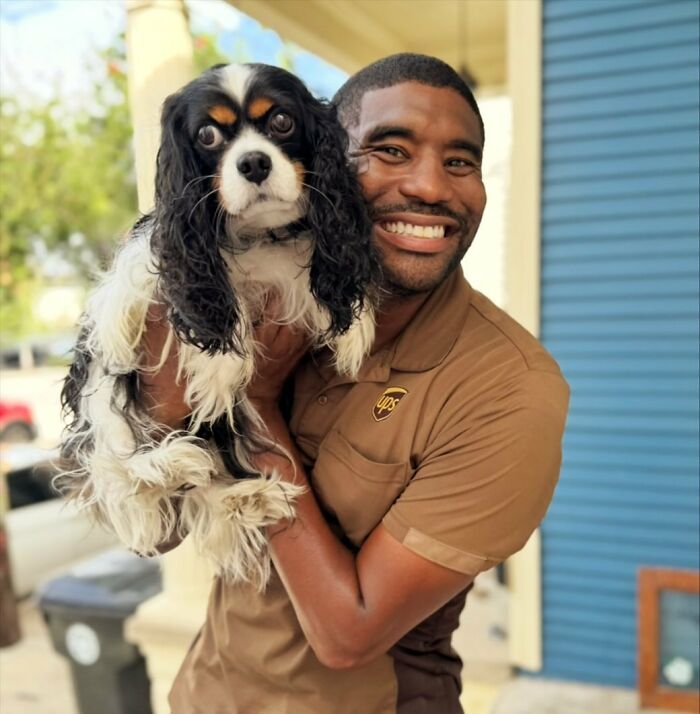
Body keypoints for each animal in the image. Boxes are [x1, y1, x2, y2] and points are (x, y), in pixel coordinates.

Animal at [58, 64, 378, 588]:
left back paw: (244, 497)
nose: (253, 163)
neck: (255, 234)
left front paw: (352, 327)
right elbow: (199, 294)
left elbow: (317, 278)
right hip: (101, 394)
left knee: (199, 488)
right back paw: (167, 463)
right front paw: (219, 365)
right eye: (207, 135)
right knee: (121, 471)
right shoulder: (159, 263)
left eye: (282, 122)